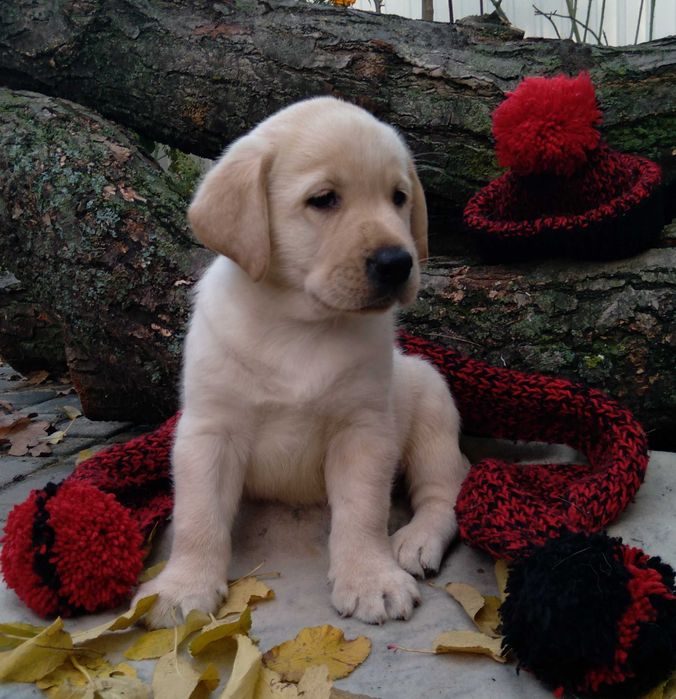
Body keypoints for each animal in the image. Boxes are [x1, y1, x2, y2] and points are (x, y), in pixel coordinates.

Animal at [135, 95, 468, 628]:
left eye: (398, 197)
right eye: (324, 199)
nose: (398, 262)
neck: (300, 323)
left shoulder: (363, 430)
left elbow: (363, 512)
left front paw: (369, 578)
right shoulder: (209, 430)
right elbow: (198, 516)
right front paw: (182, 585)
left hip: (432, 400)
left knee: (444, 490)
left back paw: (416, 539)